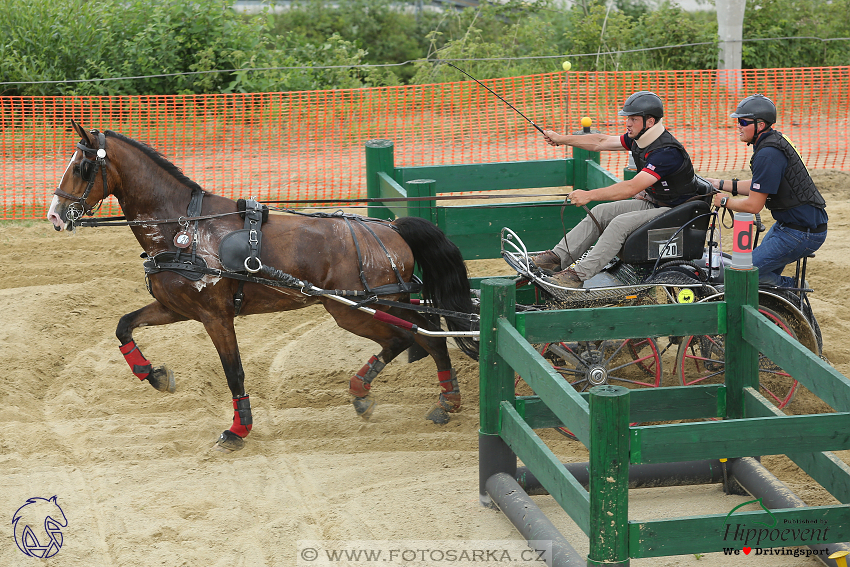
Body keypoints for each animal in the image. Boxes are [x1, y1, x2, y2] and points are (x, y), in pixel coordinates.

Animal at [48, 123, 476, 452]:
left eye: (83, 167)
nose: (55, 215)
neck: (183, 228)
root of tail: (391, 228)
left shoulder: (215, 316)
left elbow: (234, 372)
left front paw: (238, 430)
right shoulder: (176, 308)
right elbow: (123, 326)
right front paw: (153, 375)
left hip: (355, 308)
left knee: (416, 338)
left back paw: (410, 397)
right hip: (377, 304)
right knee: (417, 337)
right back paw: (406, 396)